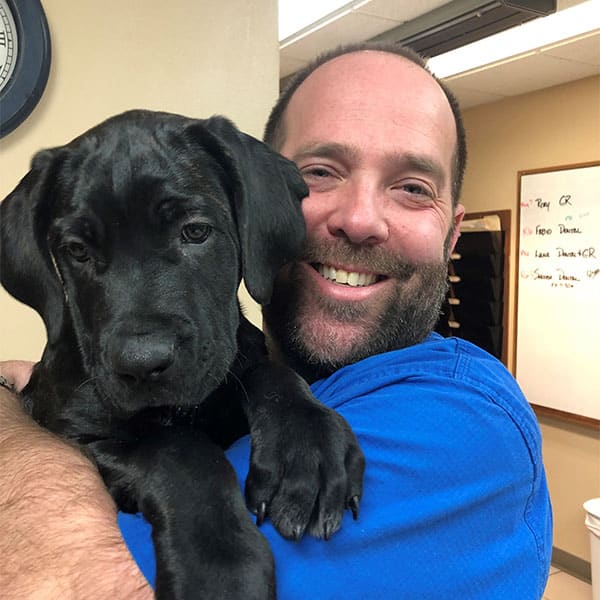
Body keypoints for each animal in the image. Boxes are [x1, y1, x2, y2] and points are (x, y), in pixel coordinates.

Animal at [1, 110, 366, 596]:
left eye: (195, 231)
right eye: (77, 251)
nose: (142, 364)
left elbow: (271, 374)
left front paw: (305, 450)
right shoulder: (76, 436)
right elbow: (176, 448)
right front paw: (220, 567)